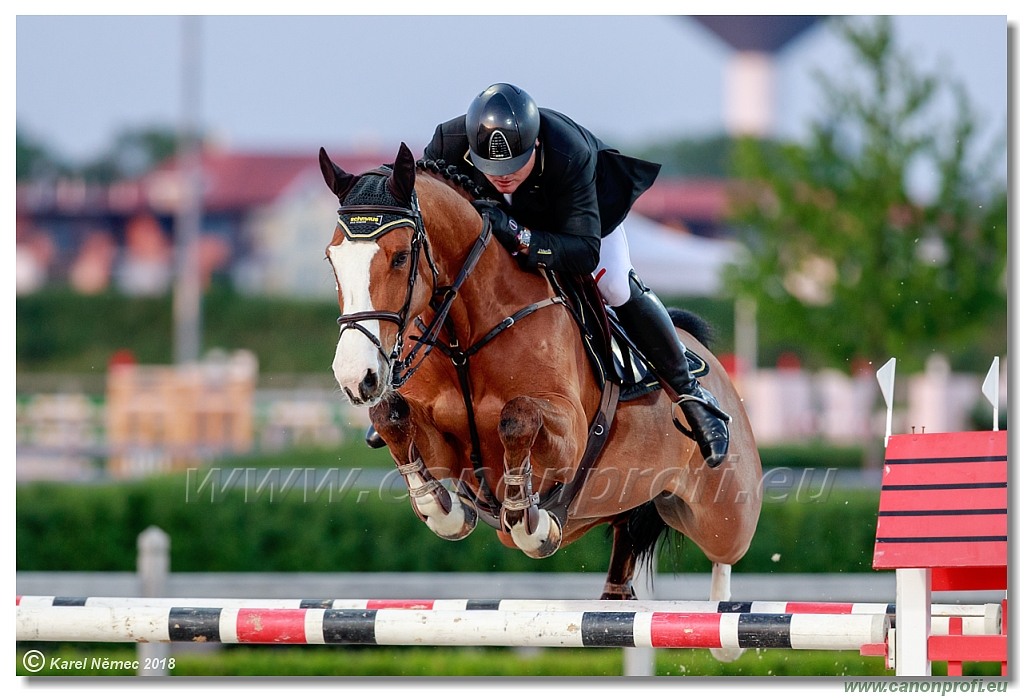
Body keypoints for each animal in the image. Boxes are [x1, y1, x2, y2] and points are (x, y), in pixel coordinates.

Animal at [323, 141, 765, 646]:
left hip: (724, 512)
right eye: (331, 260)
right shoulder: (442, 447)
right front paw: (445, 510)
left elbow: (517, 417)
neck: (466, 337)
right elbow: (393, 418)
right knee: (626, 533)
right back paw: (621, 596)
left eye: (399, 257)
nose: (355, 378)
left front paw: (528, 521)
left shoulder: (569, 435)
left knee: (726, 553)